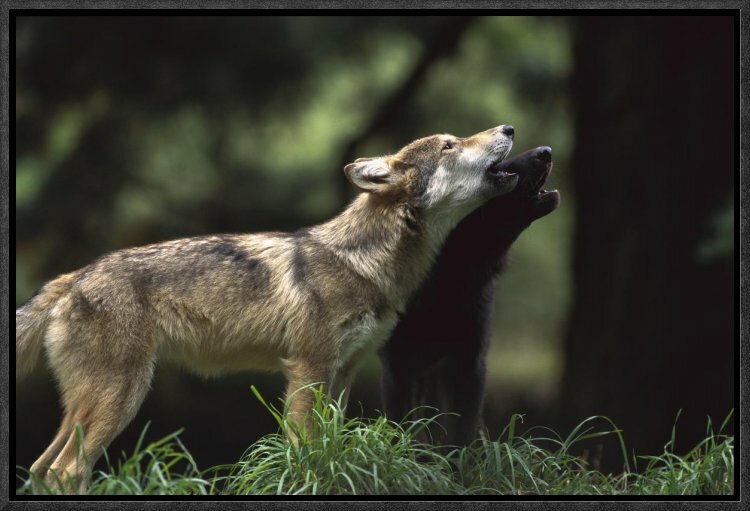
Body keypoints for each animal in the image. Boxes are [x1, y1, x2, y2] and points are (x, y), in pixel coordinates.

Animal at [19, 123, 524, 492]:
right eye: (450, 144)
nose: (508, 127)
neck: (364, 262)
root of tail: (73, 277)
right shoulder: (308, 369)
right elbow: (305, 449)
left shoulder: (343, 372)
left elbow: (329, 444)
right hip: (121, 397)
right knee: (66, 470)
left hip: (87, 406)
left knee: (43, 468)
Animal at [378, 146, 560, 446]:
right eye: (497, 168)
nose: (546, 152)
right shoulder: (399, 362)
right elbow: (405, 425)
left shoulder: (469, 359)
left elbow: (461, 431)